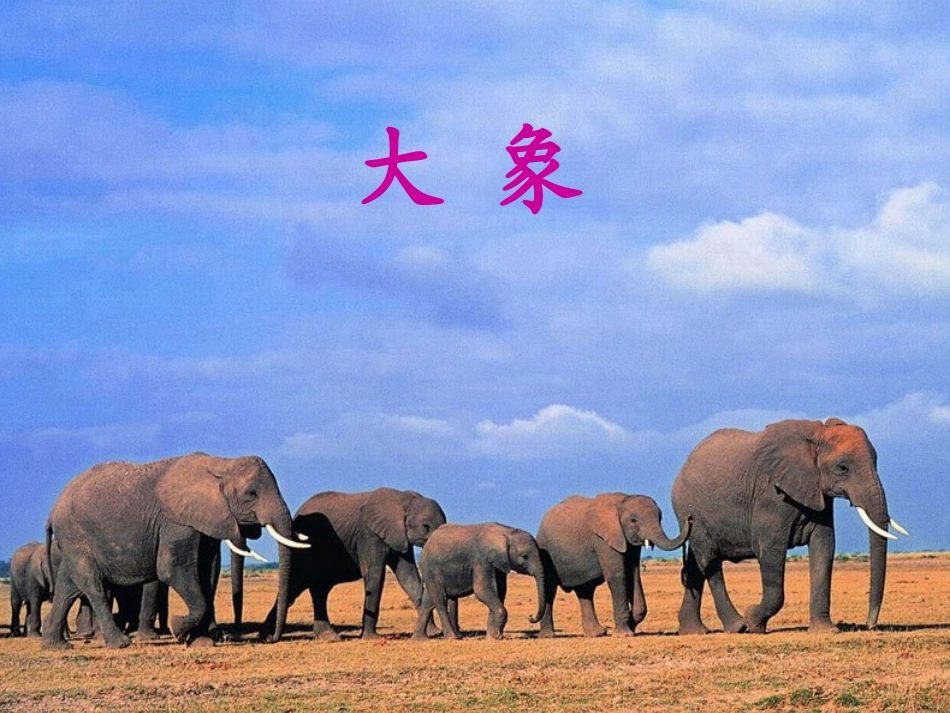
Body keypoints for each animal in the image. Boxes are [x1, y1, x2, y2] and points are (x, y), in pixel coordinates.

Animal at [42, 452, 308, 649]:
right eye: (251, 494)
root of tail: (53, 509)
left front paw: (201, 642)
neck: (221, 464)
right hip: (76, 534)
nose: (271, 638)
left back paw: (56, 646)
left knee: (67, 586)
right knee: (92, 584)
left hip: (72, 540)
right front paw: (177, 629)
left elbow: (207, 574)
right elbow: (172, 569)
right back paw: (120, 643)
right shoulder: (175, 523)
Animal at [260, 487, 446, 640]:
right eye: (426, 526)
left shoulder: (400, 537)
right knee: (297, 585)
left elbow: (409, 578)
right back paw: (270, 635)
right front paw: (371, 638)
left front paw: (434, 632)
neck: (403, 499)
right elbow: (375, 575)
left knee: (315, 589)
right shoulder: (369, 535)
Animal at [413, 522, 546, 640]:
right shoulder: (481, 559)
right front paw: (495, 636)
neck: (506, 531)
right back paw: (452, 637)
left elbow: (499, 592)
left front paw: (491, 636)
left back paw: (420, 639)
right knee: (440, 600)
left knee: (428, 603)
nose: (530, 616)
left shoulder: (498, 563)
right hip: (430, 569)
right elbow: (482, 591)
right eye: (524, 556)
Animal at [536, 493, 692, 638]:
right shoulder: (604, 539)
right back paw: (548, 636)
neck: (622, 501)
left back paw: (596, 633)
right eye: (634, 520)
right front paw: (624, 634)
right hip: (545, 550)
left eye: (660, 518)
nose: (690, 518)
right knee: (550, 589)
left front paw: (630, 625)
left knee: (585, 591)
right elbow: (618, 577)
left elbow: (633, 576)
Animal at [671, 418, 908, 635]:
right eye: (843, 468)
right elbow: (770, 551)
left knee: (695, 564)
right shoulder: (770, 496)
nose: (870, 625)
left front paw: (825, 631)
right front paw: (754, 622)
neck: (816, 436)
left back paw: (694, 631)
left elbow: (824, 548)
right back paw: (737, 626)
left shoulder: (817, 493)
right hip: (691, 510)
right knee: (708, 559)